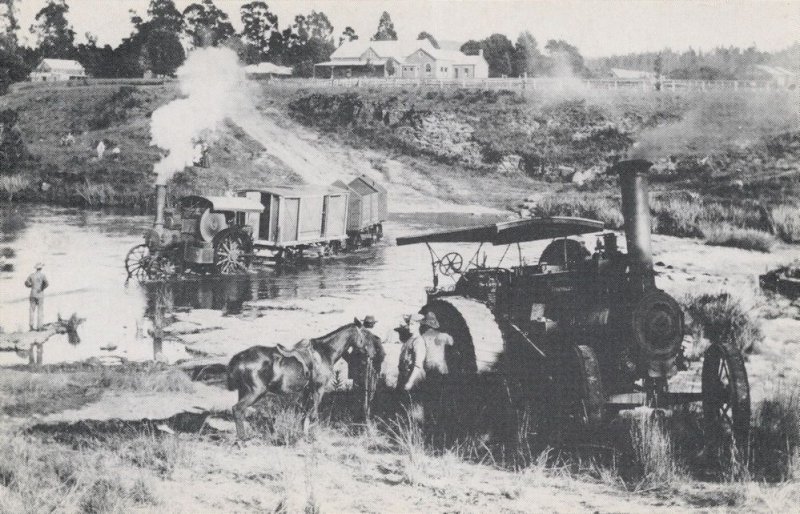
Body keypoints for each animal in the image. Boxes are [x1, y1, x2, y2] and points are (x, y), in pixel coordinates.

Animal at [227, 318, 374, 438]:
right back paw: (242, 440)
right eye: (366, 334)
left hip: (243, 391)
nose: (372, 354)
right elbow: (313, 415)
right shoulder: (318, 389)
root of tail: (239, 357)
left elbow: (303, 414)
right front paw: (313, 435)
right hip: (255, 392)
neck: (325, 352)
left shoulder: (307, 390)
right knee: (237, 410)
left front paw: (302, 434)